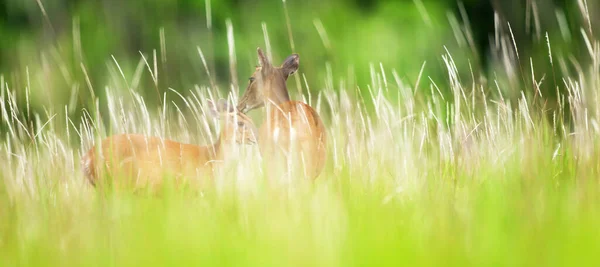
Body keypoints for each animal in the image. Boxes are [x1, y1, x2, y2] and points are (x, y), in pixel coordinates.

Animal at [81, 99, 255, 192]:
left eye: (250, 119)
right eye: (240, 123)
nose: (255, 137)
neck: (212, 158)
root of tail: (88, 156)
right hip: (117, 183)